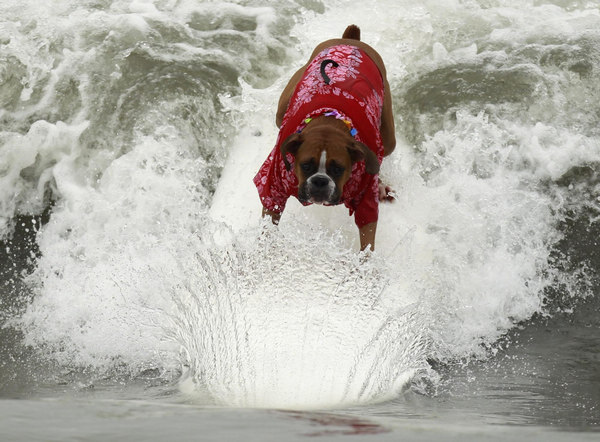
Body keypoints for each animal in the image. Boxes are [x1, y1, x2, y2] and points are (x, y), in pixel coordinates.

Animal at [255, 25, 396, 252]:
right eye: (305, 165)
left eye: (338, 169)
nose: (320, 181)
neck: (330, 123)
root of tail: (350, 40)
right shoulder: (273, 186)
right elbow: (269, 219)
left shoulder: (366, 199)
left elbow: (367, 238)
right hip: (281, 108)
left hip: (389, 137)